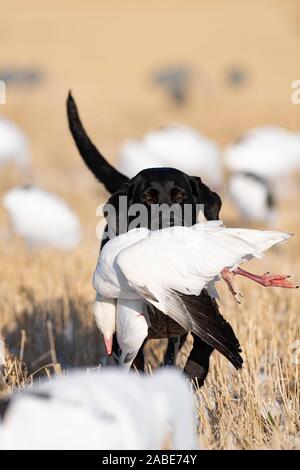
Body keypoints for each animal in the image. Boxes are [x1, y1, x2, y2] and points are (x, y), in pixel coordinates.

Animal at [67, 92, 240, 386]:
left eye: (181, 196)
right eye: (147, 198)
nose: (168, 223)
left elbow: (202, 350)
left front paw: (190, 377)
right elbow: (135, 361)